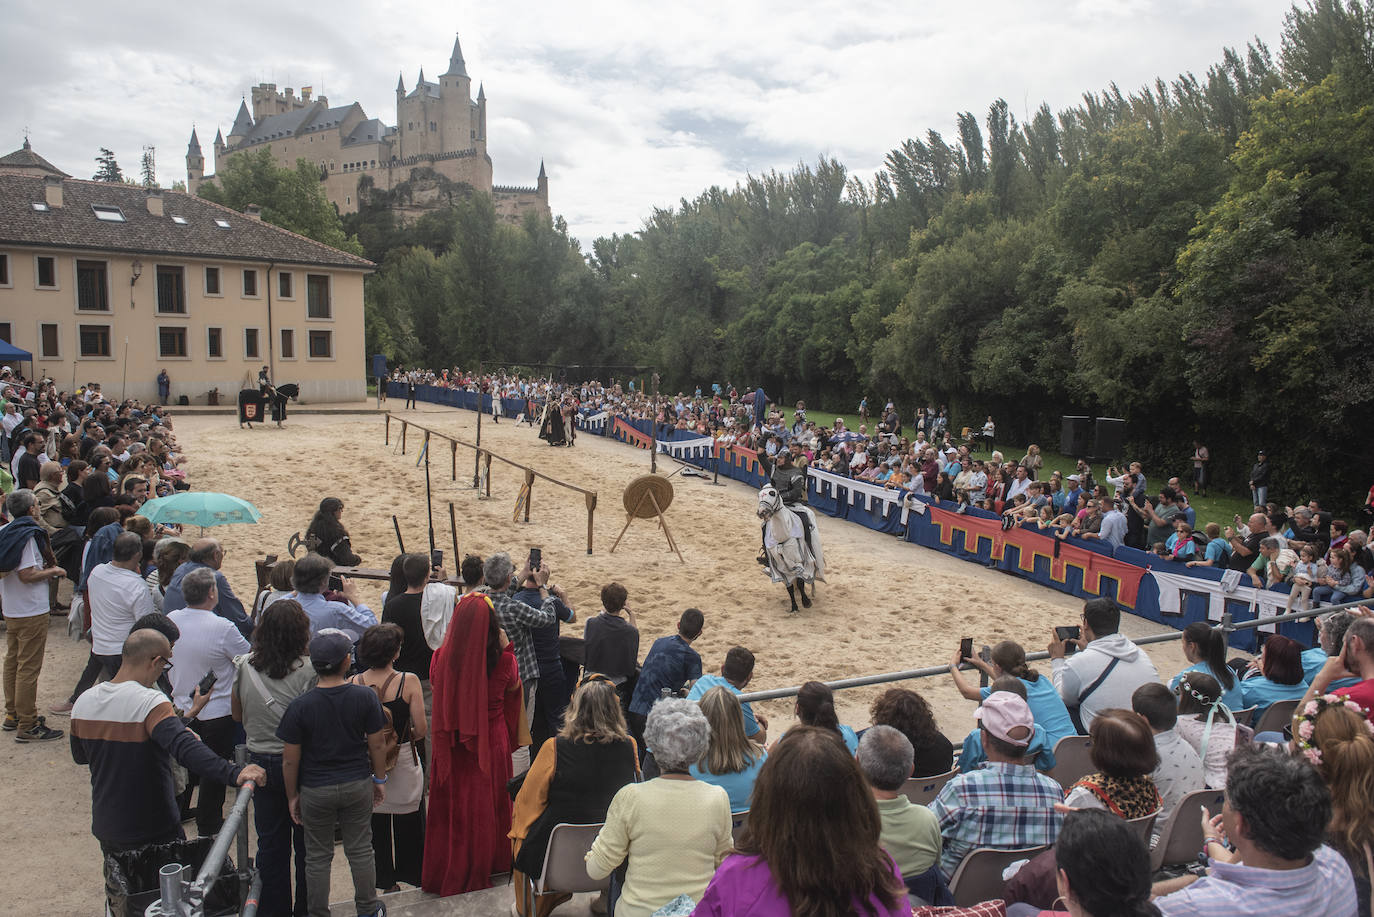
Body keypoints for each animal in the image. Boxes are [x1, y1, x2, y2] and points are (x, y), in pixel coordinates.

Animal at [758, 483, 818, 613]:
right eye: (759, 495)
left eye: (772, 493)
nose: (762, 511)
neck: (782, 535)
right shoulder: (780, 566)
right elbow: (789, 586)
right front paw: (794, 606)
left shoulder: (799, 561)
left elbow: (800, 581)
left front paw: (806, 602)